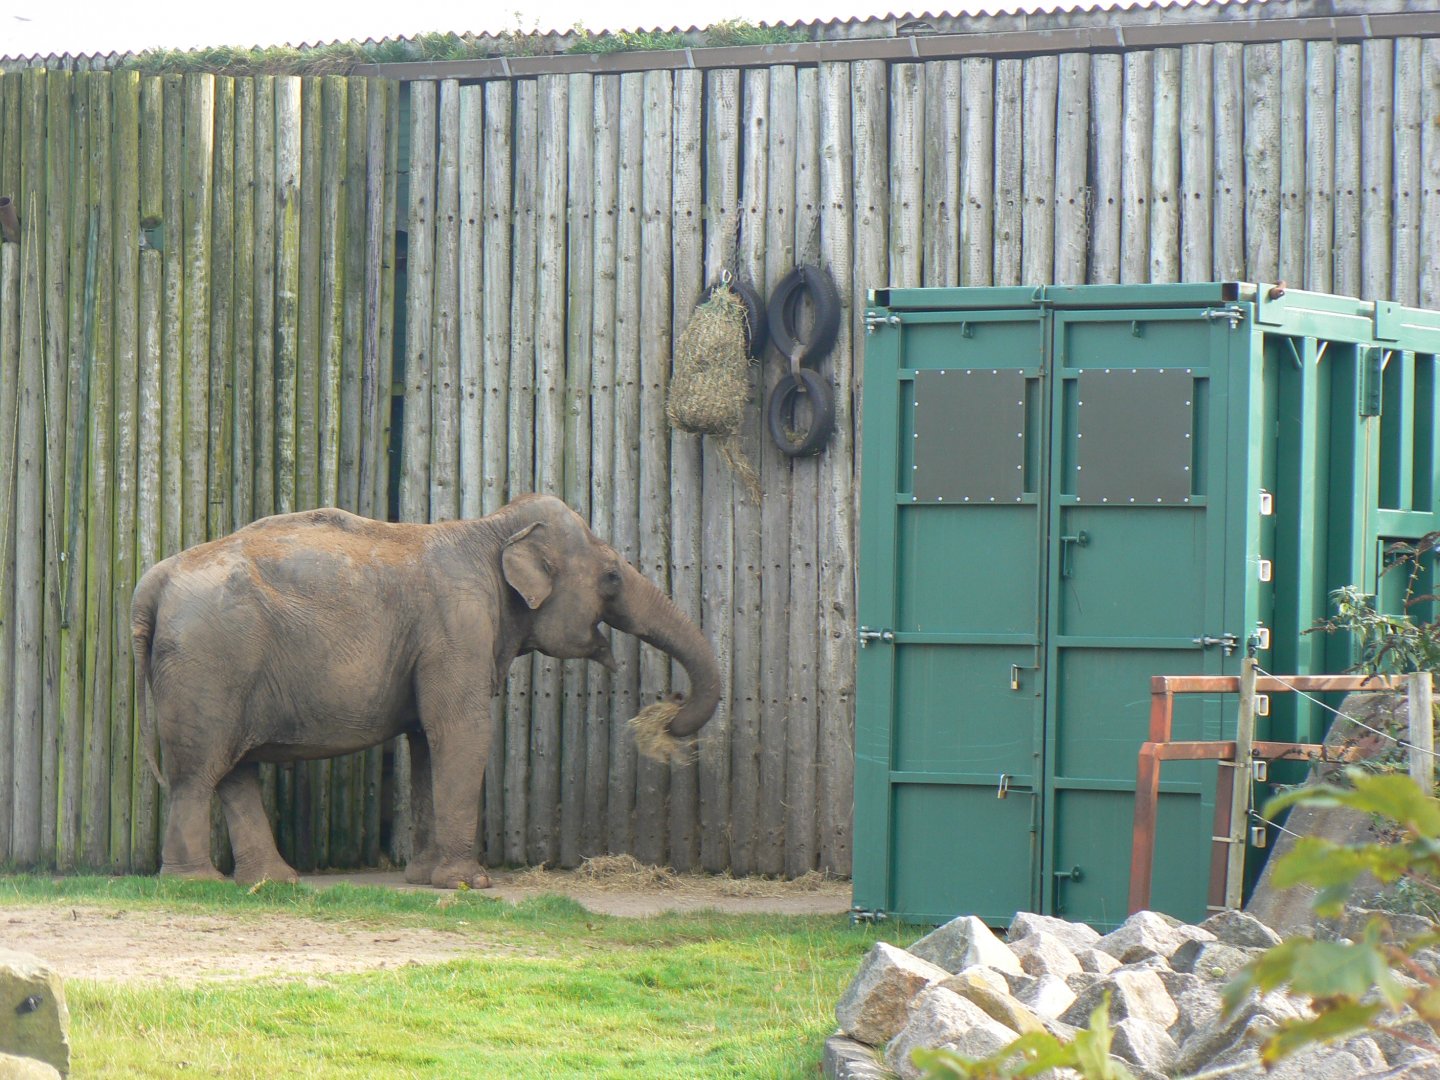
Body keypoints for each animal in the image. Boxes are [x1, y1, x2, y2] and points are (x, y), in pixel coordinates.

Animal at [129, 493, 722, 889]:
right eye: (612, 577)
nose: (669, 707)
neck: (492, 529)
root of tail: (153, 581)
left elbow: (424, 744)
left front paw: (422, 877)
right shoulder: (458, 625)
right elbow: (461, 731)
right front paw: (467, 885)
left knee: (232, 771)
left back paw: (272, 883)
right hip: (209, 662)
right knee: (199, 773)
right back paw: (195, 884)